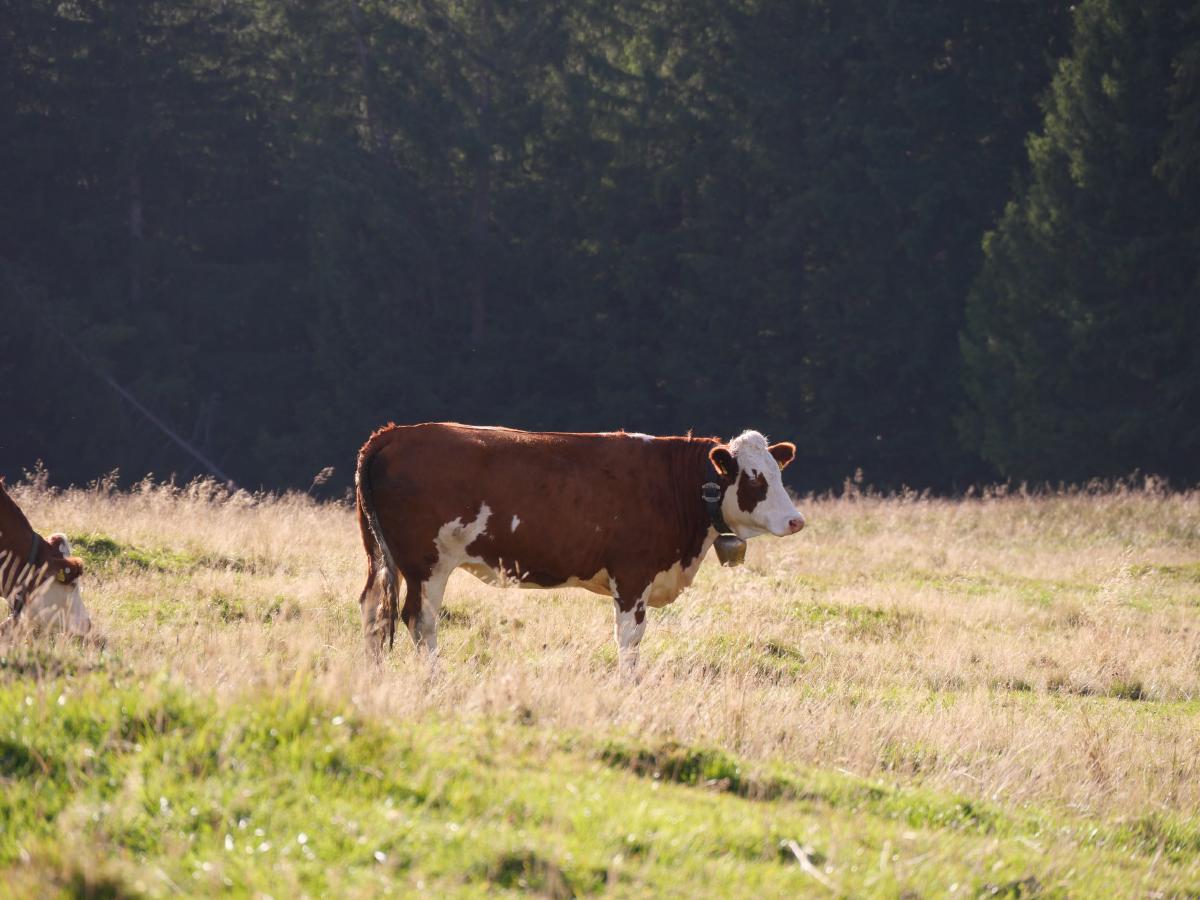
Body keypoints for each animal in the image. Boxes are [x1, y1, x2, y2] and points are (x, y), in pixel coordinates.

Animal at [354, 423, 805, 669]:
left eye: (778, 473)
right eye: (753, 478)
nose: (795, 520)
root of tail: (394, 434)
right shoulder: (633, 573)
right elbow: (630, 638)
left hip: (383, 557)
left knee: (373, 609)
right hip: (426, 563)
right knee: (419, 620)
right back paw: (435, 679)